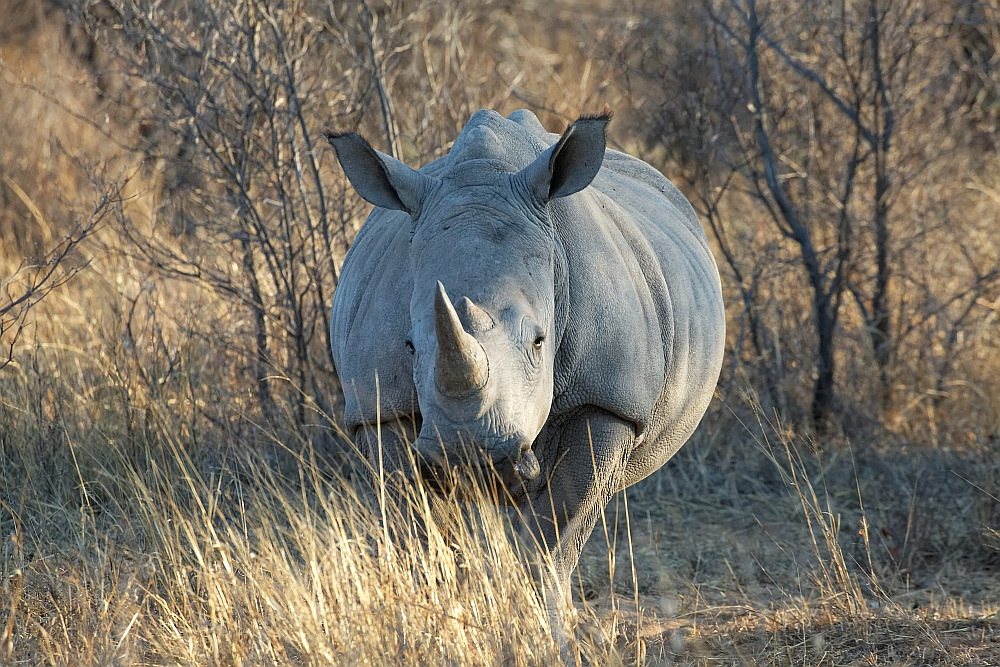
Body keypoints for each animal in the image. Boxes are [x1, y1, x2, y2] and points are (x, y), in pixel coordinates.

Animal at [325, 109, 725, 607]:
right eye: (410, 345)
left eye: (539, 341)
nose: (471, 460)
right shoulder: (380, 406)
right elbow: (416, 527)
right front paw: (440, 603)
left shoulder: (606, 399)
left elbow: (555, 534)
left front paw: (540, 613)